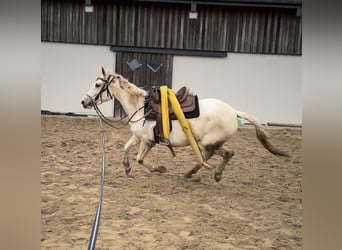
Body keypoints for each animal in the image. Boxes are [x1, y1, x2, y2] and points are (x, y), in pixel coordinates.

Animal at [82, 67, 288, 183]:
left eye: (98, 85)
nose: (83, 102)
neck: (142, 107)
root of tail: (234, 111)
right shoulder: (138, 136)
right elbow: (125, 148)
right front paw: (126, 168)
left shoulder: (147, 141)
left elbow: (140, 159)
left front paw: (159, 169)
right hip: (210, 143)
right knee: (217, 155)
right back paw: (194, 173)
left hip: (209, 142)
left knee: (223, 153)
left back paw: (208, 174)